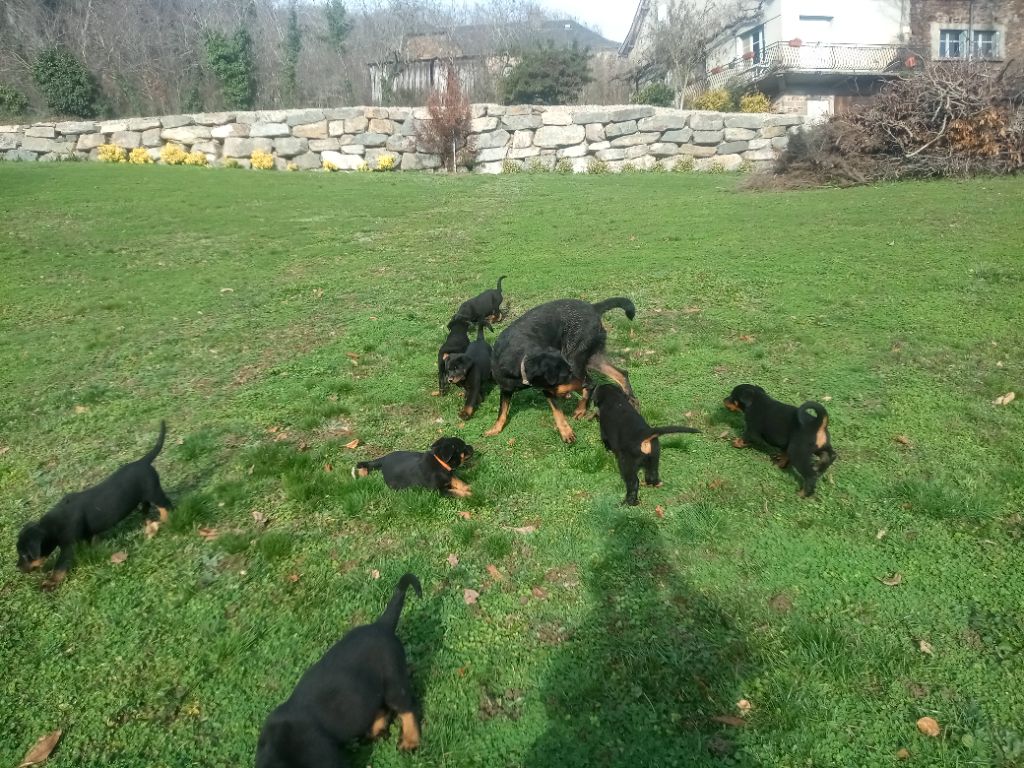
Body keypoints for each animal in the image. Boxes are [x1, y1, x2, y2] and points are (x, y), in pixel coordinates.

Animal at [15, 421, 172, 589]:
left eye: (25, 555)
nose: (17, 567)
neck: (52, 526)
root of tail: (143, 461)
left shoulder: (69, 545)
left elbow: (60, 566)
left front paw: (50, 582)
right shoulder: (86, 535)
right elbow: (90, 542)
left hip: (154, 491)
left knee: (165, 505)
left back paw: (166, 519)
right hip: (144, 496)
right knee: (146, 506)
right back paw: (147, 521)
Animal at [256, 573, 423, 765]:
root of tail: (381, 625)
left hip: (393, 679)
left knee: (407, 707)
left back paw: (410, 740)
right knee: (382, 706)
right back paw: (376, 730)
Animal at [485, 301, 634, 444]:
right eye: (565, 376)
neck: (521, 360)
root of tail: (593, 307)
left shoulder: (548, 387)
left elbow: (558, 412)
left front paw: (566, 432)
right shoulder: (506, 388)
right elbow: (502, 410)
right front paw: (495, 428)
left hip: (574, 356)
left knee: (593, 380)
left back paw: (581, 407)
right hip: (591, 358)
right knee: (620, 374)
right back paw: (631, 400)